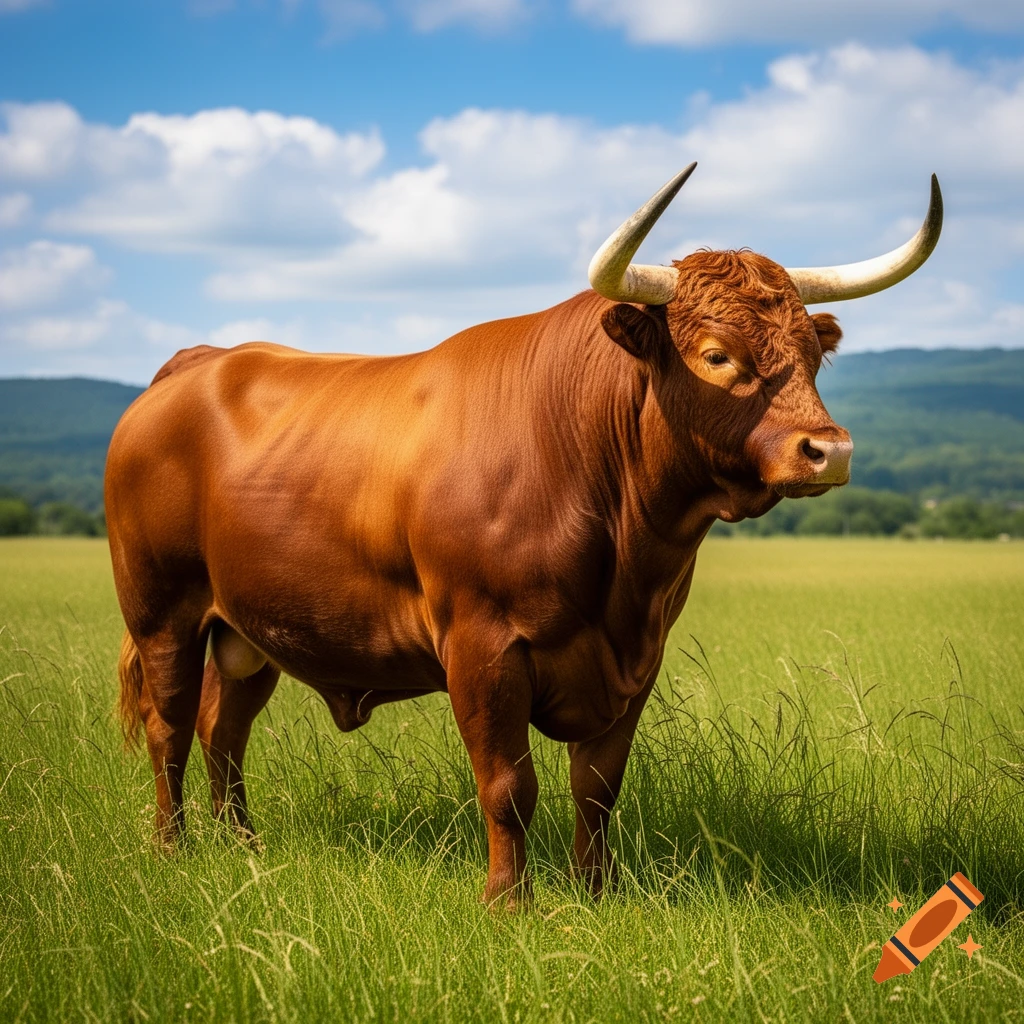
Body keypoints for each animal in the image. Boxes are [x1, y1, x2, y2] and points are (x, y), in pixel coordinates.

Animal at [106, 165, 942, 906]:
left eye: (813, 354)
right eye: (717, 355)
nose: (830, 451)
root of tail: (198, 364)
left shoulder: (635, 660)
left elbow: (597, 786)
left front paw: (596, 895)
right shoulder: (483, 647)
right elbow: (509, 785)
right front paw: (509, 902)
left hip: (248, 630)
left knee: (222, 730)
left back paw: (243, 848)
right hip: (162, 611)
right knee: (170, 725)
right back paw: (174, 848)